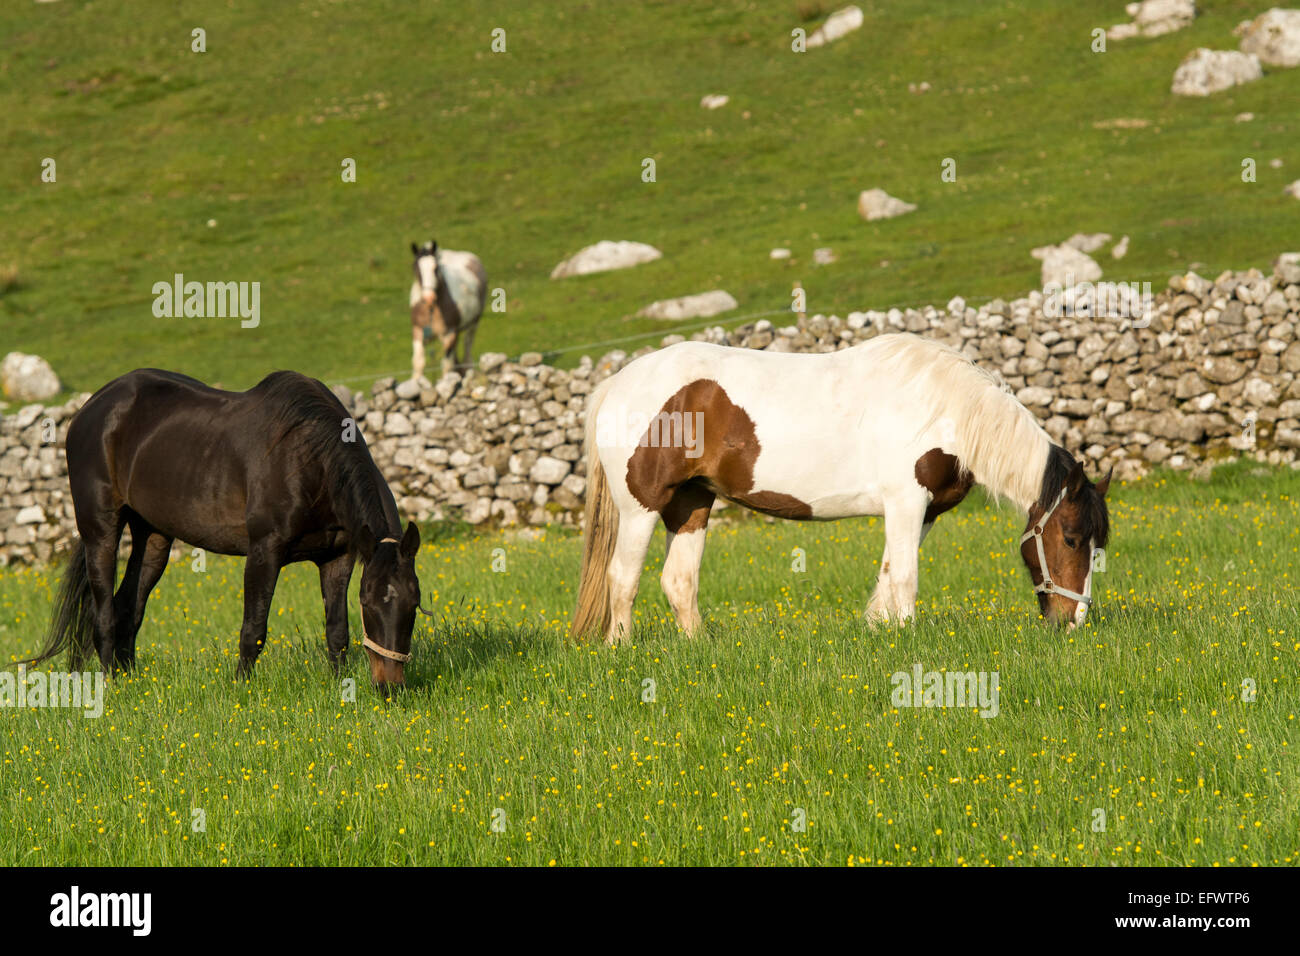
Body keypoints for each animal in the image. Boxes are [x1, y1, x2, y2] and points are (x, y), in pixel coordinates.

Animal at [25, 369, 423, 691]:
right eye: (368, 603)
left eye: (414, 603)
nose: (390, 687)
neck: (309, 460)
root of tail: (91, 409)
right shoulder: (265, 551)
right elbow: (254, 630)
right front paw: (240, 689)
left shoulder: (337, 558)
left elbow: (337, 631)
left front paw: (341, 686)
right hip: (101, 531)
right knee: (104, 613)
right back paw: (111, 686)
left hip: (153, 536)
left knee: (129, 606)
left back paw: (131, 680)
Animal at [408, 239, 486, 382]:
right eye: (416, 268)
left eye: (435, 268)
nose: (428, 297)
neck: (432, 309)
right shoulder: (418, 331)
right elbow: (418, 362)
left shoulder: (450, 333)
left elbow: (446, 365)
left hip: (472, 324)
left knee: (467, 351)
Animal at [574, 332, 1112, 647]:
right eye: (1069, 539)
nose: (1074, 622)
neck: (945, 409)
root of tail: (618, 383)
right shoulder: (906, 502)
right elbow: (905, 579)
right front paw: (907, 640)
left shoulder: (920, 514)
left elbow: (888, 574)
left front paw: (880, 629)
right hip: (641, 507)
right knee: (623, 577)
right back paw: (620, 648)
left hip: (691, 503)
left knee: (679, 580)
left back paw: (699, 647)